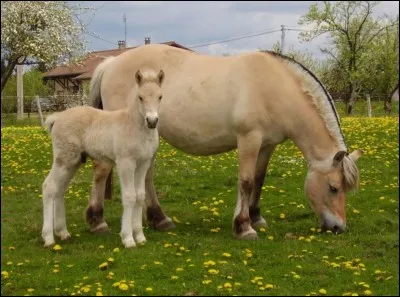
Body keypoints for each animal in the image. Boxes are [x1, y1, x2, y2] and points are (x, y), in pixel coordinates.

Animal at [41, 68, 164, 246]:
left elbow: (140, 196)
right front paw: (128, 238)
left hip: (73, 162)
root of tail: (57, 117)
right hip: (63, 159)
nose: (152, 121)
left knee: (59, 190)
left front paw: (140, 236)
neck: (135, 125)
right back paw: (49, 238)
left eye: (160, 96)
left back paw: (63, 232)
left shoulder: (143, 163)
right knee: (49, 187)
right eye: (140, 97)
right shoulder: (125, 162)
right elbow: (129, 196)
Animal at [86, 43, 362, 238]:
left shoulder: (267, 145)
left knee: (146, 176)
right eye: (333, 188)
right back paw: (97, 221)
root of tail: (111, 64)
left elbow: (259, 179)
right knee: (102, 169)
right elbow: (246, 181)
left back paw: (159, 219)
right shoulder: (249, 140)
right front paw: (244, 227)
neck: (274, 87)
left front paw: (256, 217)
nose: (339, 227)